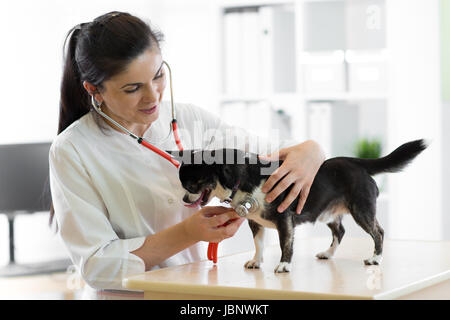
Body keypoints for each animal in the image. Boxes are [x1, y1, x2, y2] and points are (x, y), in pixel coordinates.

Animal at [171, 140, 428, 272]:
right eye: (183, 185)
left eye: (193, 184)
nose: (184, 199)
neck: (241, 178)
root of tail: (358, 164)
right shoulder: (255, 222)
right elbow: (259, 244)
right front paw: (256, 261)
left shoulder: (284, 220)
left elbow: (286, 244)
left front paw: (284, 264)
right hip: (329, 214)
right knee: (340, 231)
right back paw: (328, 253)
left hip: (361, 211)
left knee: (378, 232)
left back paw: (375, 259)